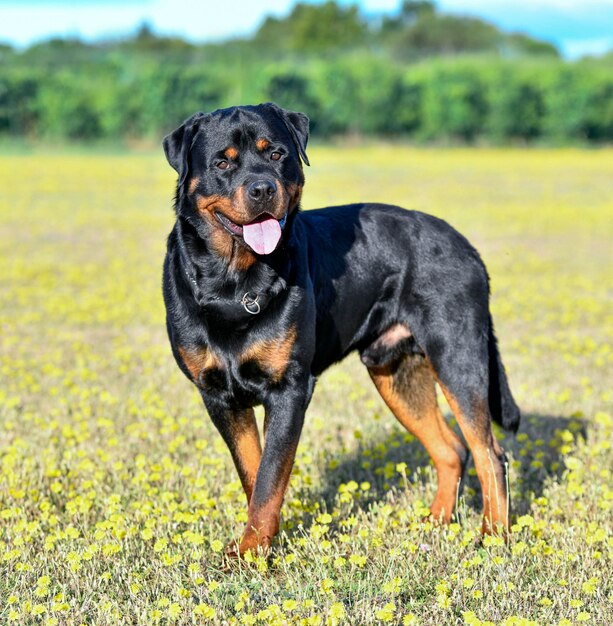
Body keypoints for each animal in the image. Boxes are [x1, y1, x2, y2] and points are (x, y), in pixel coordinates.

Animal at [160, 102, 520, 556]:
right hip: (395, 372)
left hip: (457, 356)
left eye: (276, 154)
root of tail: (469, 248)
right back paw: (435, 523)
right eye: (222, 162)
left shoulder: (290, 388)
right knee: (453, 449)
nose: (261, 189)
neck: (234, 281)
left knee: (490, 452)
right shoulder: (219, 395)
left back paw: (493, 535)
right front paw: (256, 547)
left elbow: (269, 479)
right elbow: (255, 473)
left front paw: (249, 554)